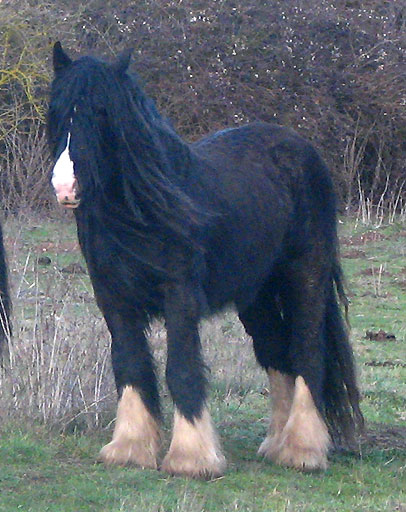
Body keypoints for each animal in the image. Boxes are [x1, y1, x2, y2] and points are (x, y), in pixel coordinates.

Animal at [48, 44, 364, 480]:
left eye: (101, 111)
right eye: (57, 110)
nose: (66, 187)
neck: (146, 210)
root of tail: (299, 147)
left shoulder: (179, 295)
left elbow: (181, 369)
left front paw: (192, 457)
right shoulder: (113, 298)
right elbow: (130, 365)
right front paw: (130, 448)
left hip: (306, 274)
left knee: (305, 353)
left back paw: (302, 449)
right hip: (256, 295)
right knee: (276, 354)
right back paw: (276, 443)